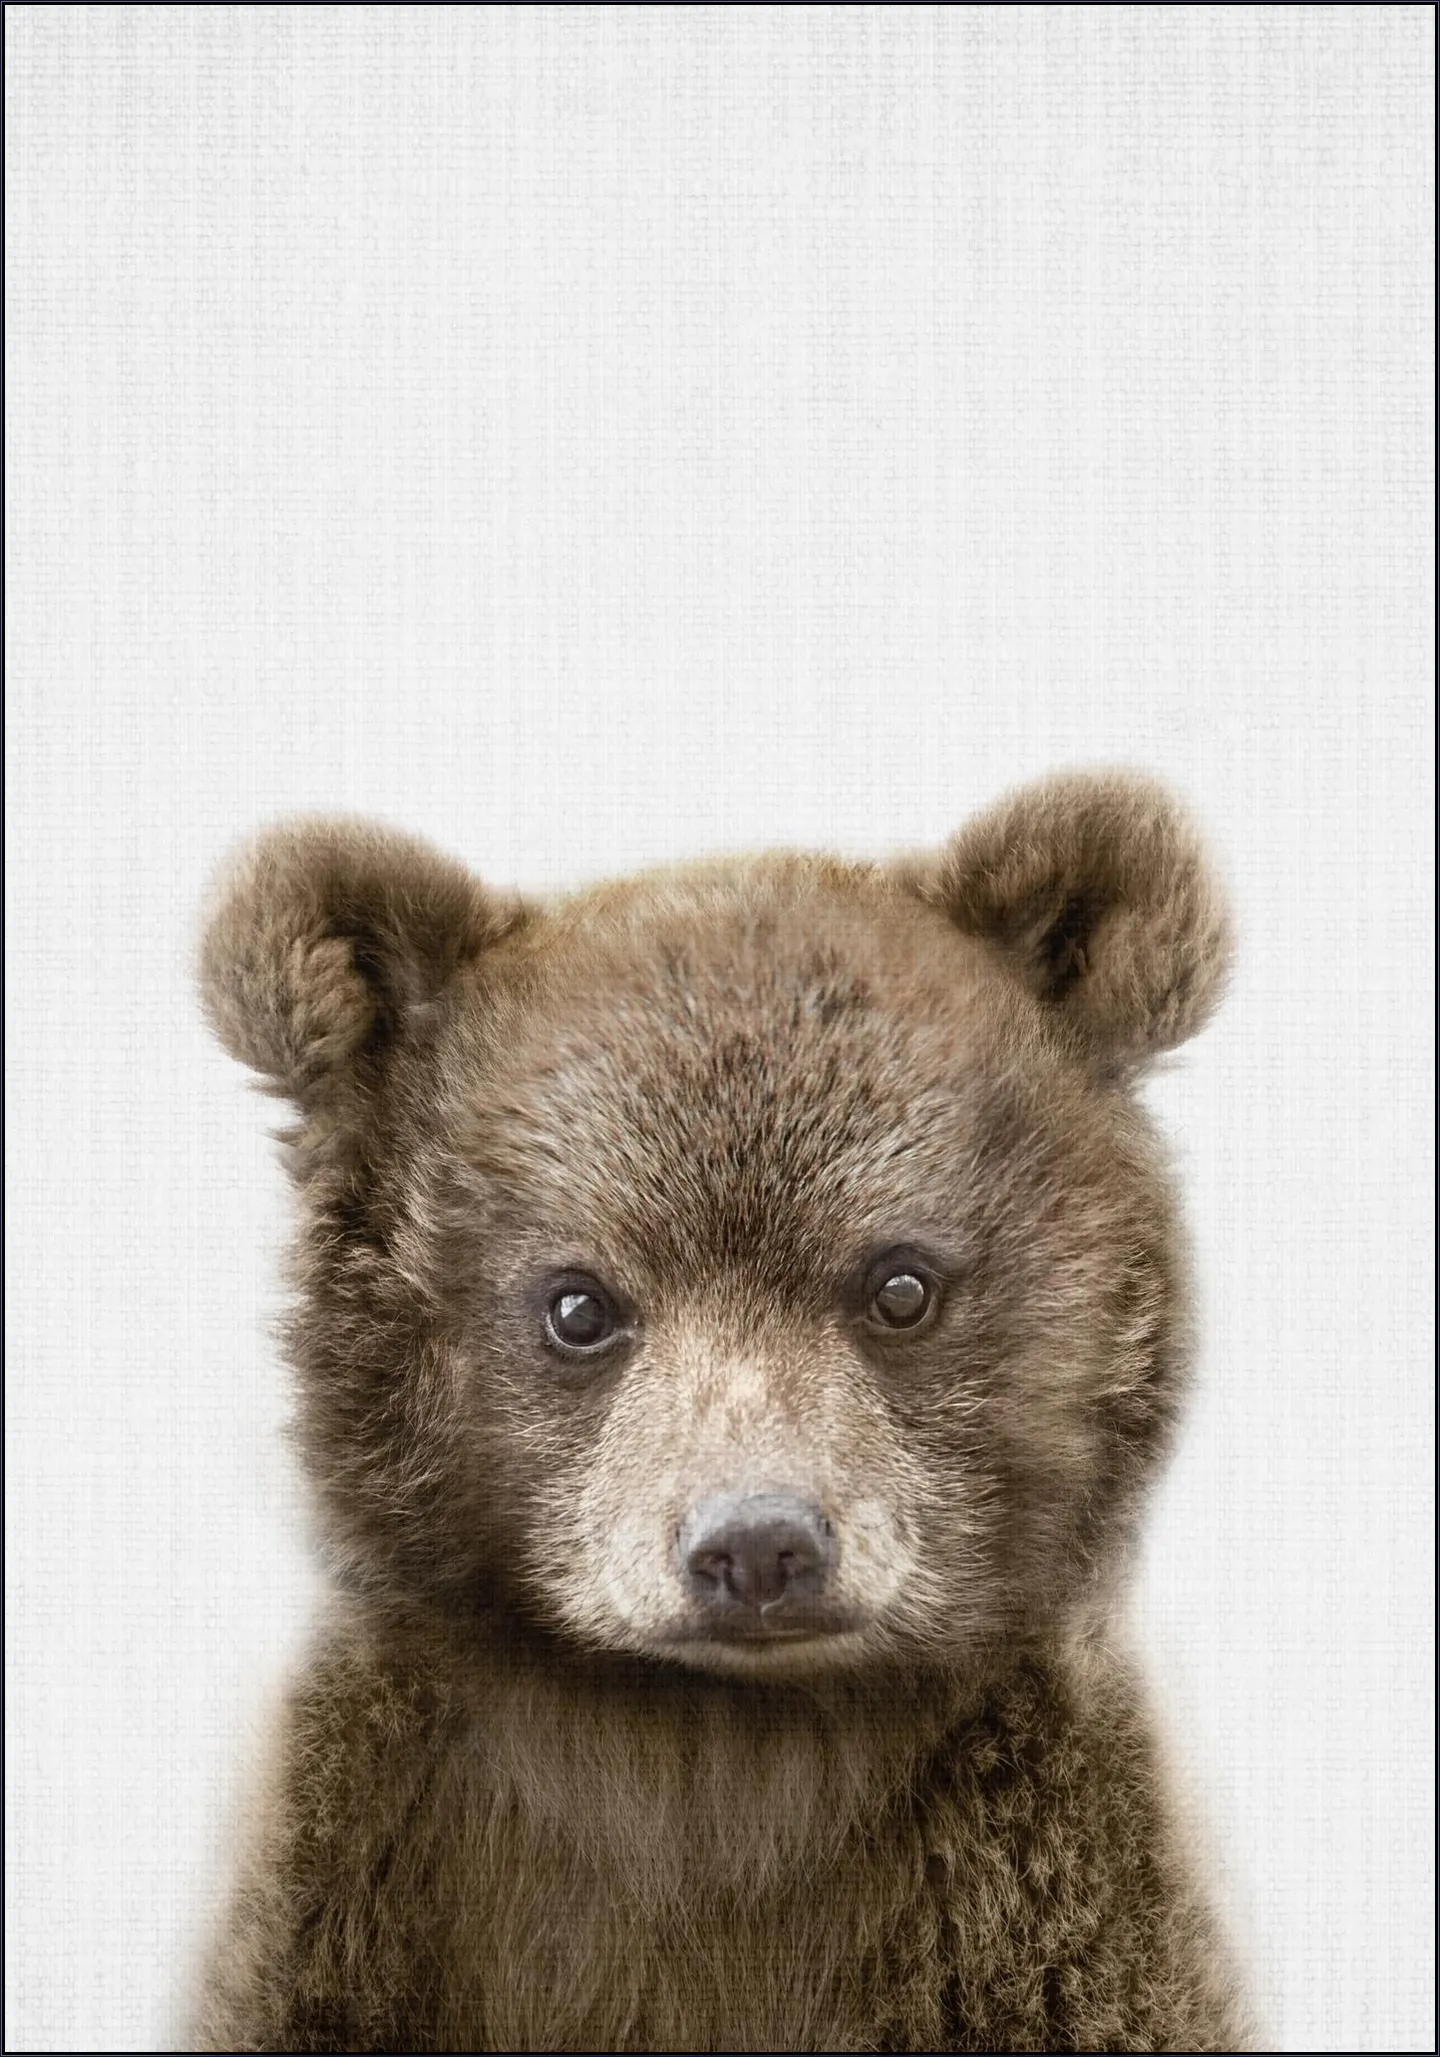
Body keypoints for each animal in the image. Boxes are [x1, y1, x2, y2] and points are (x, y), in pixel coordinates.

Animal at [189, 768, 1254, 2054]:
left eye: (900, 1283)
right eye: (579, 1301)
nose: (757, 1546)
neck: (713, 1759)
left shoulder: (1039, 1914)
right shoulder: (363, 1893)